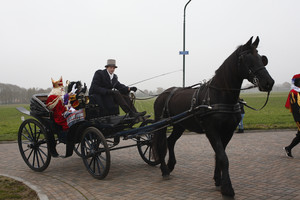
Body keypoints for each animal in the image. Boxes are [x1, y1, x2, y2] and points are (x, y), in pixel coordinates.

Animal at [152, 37, 274, 197]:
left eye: (261, 58)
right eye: (248, 59)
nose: (269, 83)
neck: (221, 95)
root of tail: (163, 94)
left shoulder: (228, 132)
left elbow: (219, 156)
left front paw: (218, 180)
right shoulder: (211, 131)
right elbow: (223, 157)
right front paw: (227, 188)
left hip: (179, 125)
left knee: (170, 141)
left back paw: (171, 165)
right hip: (162, 124)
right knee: (161, 144)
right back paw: (165, 170)